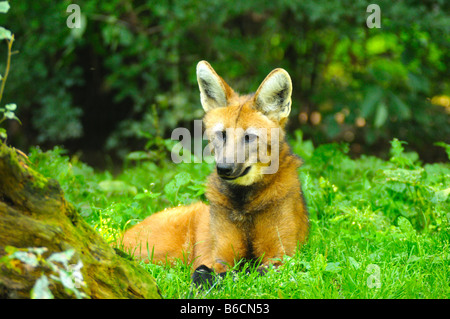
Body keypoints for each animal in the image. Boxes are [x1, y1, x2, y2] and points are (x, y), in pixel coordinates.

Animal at [120, 60, 310, 284]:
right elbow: (220, 271)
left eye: (249, 137)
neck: (244, 203)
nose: (224, 168)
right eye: (222, 135)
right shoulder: (220, 256)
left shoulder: (281, 258)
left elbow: (247, 272)